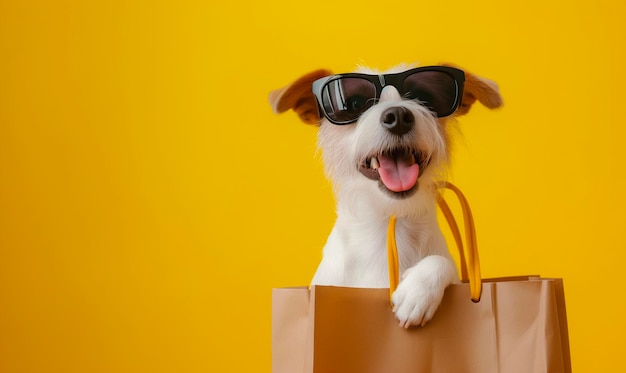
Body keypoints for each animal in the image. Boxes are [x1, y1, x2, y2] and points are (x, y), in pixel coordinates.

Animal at [268, 62, 502, 326]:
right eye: (355, 103)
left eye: (423, 97)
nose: (398, 116)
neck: (387, 225)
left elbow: (442, 261)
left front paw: (418, 290)